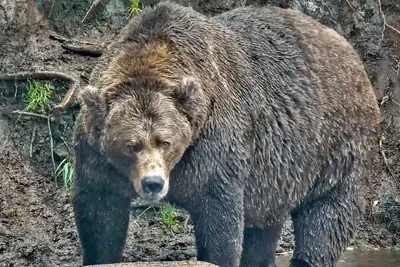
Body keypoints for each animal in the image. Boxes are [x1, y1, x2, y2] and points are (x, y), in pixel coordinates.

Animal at [71, 1, 382, 266]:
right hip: (277, 173)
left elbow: (219, 218)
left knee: (327, 213)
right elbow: (100, 213)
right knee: (264, 227)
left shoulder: (214, 147)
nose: (153, 183)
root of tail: (348, 49)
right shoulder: (96, 153)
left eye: (165, 141)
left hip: (335, 143)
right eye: (131, 144)